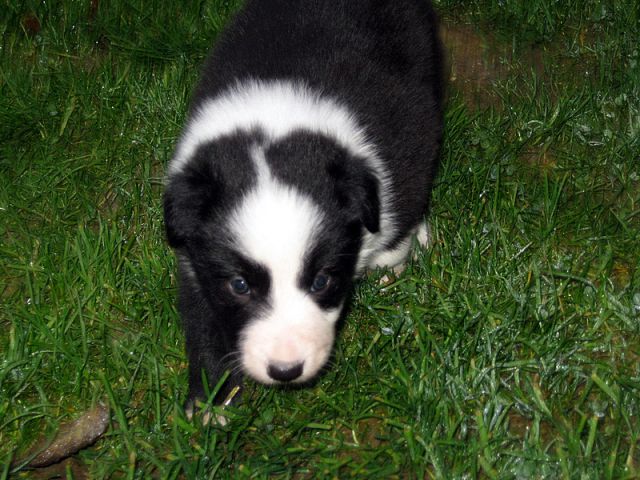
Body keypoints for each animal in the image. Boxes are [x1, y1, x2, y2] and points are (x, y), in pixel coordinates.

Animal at [164, 0, 444, 412]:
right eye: (239, 285)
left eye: (321, 281)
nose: (286, 370)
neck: (275, 123)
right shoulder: (195, 253)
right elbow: (204, 318)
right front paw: (211, 403)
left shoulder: (407, 147)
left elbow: (396, 225)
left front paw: (388, 266)